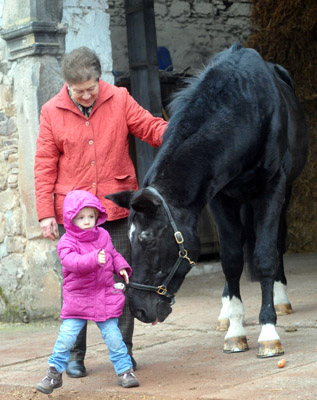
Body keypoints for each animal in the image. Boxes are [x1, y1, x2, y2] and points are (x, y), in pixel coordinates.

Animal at [107, 44, 308, 360]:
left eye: (148, 239)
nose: (139, 309)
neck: (245, 109)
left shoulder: (273, 188)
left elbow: (265, 255)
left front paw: (268, 333)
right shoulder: (218, 198)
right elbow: (231, 260)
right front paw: (235, 330)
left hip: (281, 195)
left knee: (276, 242)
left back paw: (280, 297)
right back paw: (226, 313)